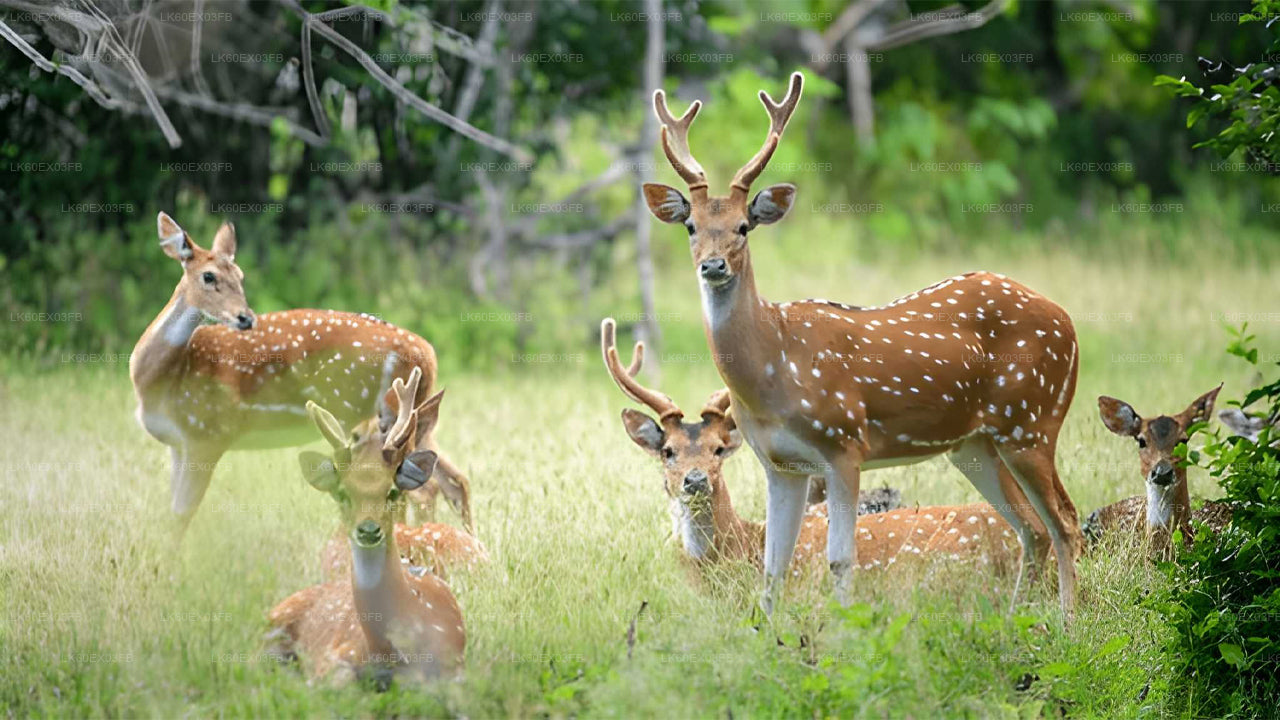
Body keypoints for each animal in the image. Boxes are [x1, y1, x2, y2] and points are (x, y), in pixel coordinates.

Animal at [129, 212, 472, 534]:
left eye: (240, 276)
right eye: (208, 276)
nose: (245, 317)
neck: (161, 380)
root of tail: (426, 353)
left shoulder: (208, 431)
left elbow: (181, 515)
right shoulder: (178, 443)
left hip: (373, 412)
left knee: (422, 489)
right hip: (415, 418)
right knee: (454, 479)